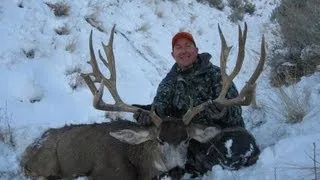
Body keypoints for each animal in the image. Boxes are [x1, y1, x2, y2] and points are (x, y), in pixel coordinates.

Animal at [20, 23, 264, 179]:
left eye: (186, 139)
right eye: (159, 140)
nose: (176, 171)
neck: (140, 163)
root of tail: (28, 149)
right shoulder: (105, 172)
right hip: (46, 161)